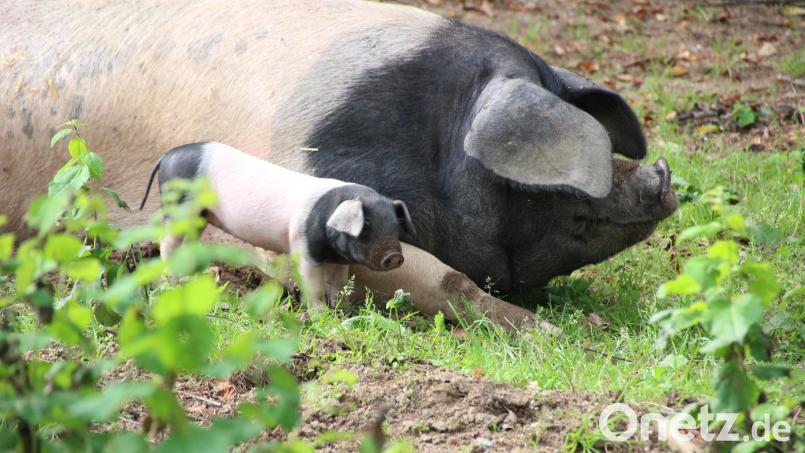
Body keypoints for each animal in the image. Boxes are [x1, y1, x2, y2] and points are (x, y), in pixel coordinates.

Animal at [139, 141, 415, 310]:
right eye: (365, 225)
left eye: (394, 227)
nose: (395, 256)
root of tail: (167, 156)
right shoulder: (302, 247)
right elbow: (314, 286)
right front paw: (320, 313)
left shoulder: (339, 260)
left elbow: (338, 284)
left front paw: (342, 309)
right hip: (178, 205)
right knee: (168, 243)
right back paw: (170, 283)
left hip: (199, 215)